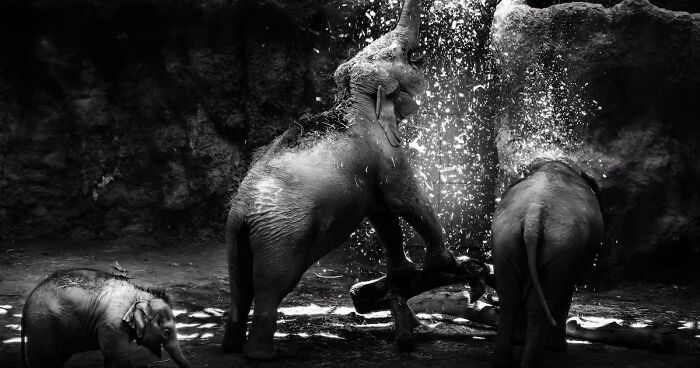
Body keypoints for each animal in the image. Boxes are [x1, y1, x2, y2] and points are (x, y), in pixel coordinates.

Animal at [21, 268, 191, 368]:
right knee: (43, 361)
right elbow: (118, 358)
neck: (139, 295)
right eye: (167, 331)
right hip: (42, 327)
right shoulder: (113, 324)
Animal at [221, 0, 456, 360]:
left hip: (235, 238)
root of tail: (242, 209)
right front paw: (444, 262)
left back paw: (230, 348)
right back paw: (261, 355)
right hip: (281, 235)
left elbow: (382, 214)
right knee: (270, 287)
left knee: (239, 287)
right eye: (400, 53)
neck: (353, 97)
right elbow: (402, 200)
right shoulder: (385, 151)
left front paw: (404, 273)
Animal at [492, 159, 600, 368]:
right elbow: (566, 293)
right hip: (560, 248)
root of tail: (534, 214)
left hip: (505, 240)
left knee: (510, 298)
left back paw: (504, 360)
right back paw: (534, 360)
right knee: (541, 303)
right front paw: (558, 348)